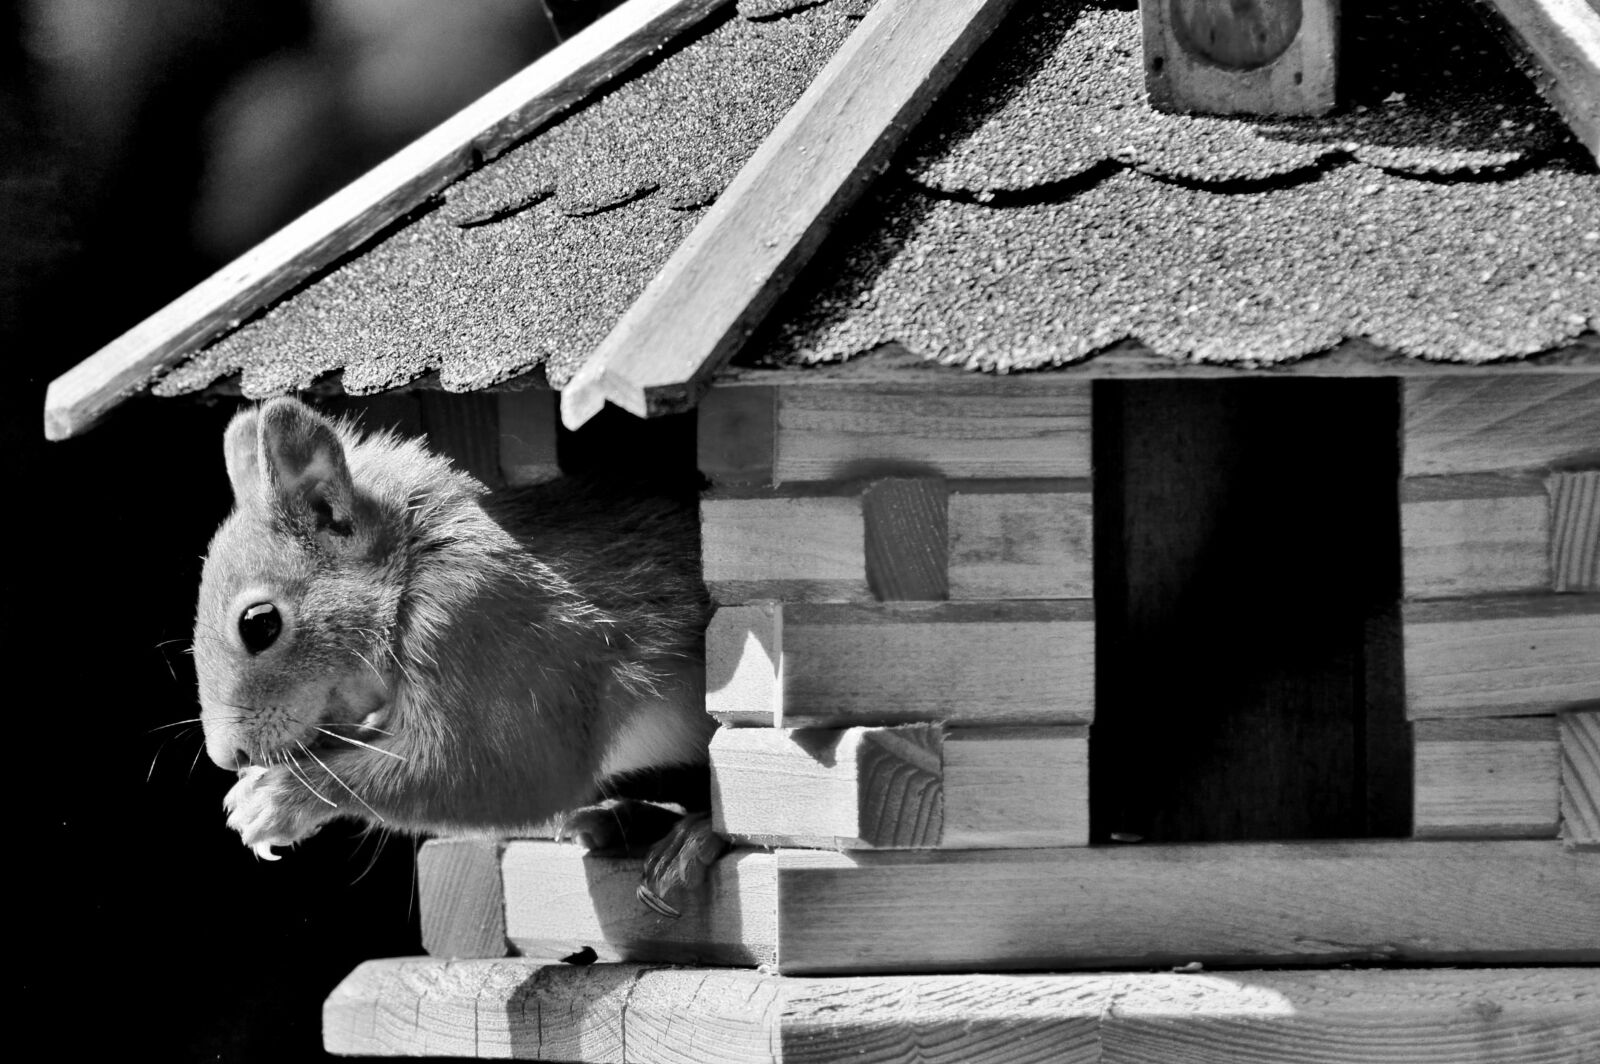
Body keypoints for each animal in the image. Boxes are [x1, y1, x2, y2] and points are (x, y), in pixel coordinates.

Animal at [194, 396, 721, 913]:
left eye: (260, 624)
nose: (228, 756)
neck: (413, 567)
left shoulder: (485, 627)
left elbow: (500, 772)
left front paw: (277, 797)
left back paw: (692, 836)